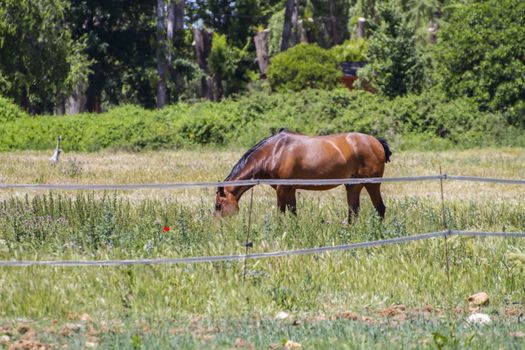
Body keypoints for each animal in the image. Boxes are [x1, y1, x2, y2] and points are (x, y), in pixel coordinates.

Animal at [213, 130, 388, 220]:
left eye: (218, 205)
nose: (217, 227)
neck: (274, 152)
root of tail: (376, 141)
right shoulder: (290, 190)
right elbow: (293, 213)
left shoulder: (282, 189)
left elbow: (281, 213)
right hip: (353, 186)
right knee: (354, 211)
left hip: (372, 185)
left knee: (380, 209)